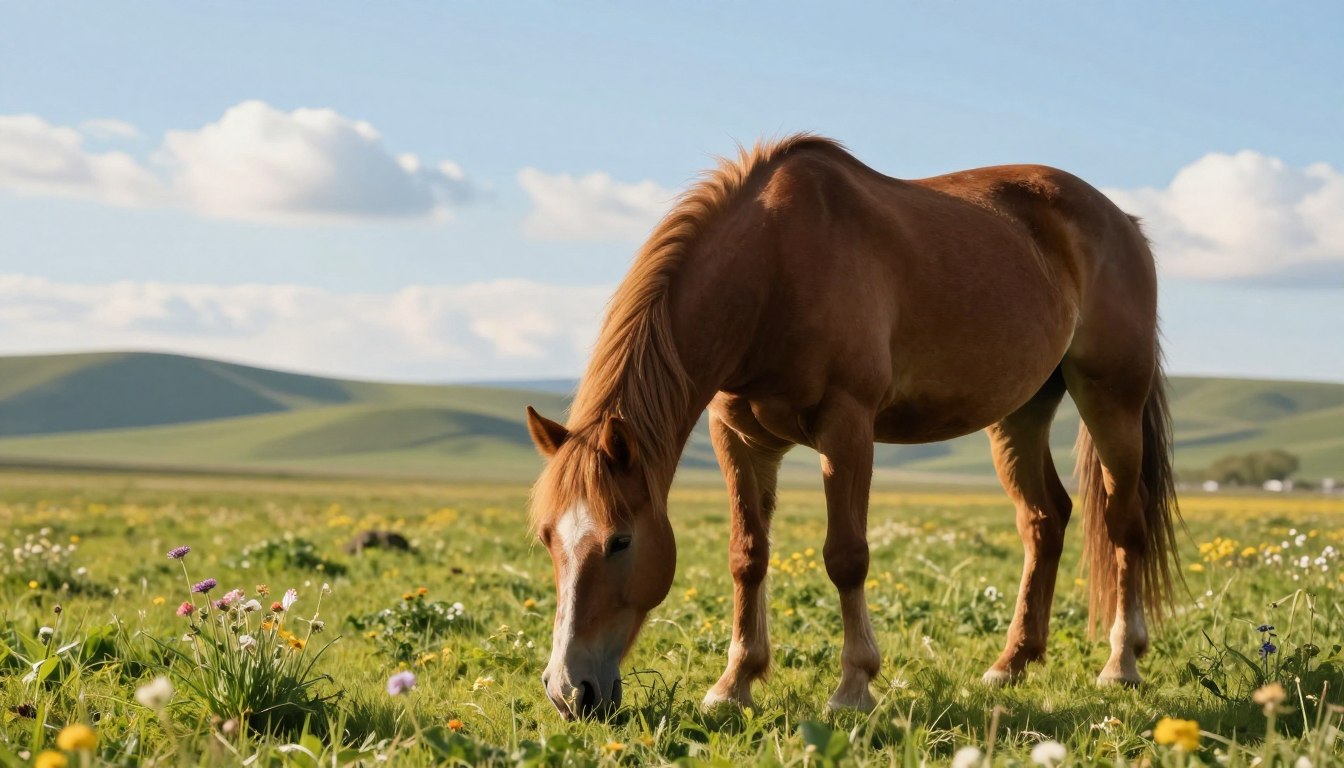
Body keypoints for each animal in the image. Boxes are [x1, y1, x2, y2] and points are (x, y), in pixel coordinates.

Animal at [524, 134, 1181, 719]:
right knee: (1045, 520)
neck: (773, 269)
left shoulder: (846, 427)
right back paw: (1010, 663)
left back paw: (1121, 663)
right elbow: (747, 555)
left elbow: (846, 556)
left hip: (1111, 400)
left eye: (620, 541)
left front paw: (853, 687)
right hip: (1020, 413)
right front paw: (734, 684)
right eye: (548, 538)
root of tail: (1122, 221)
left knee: (1123, 522)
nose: (569, 691)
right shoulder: (738, 437)